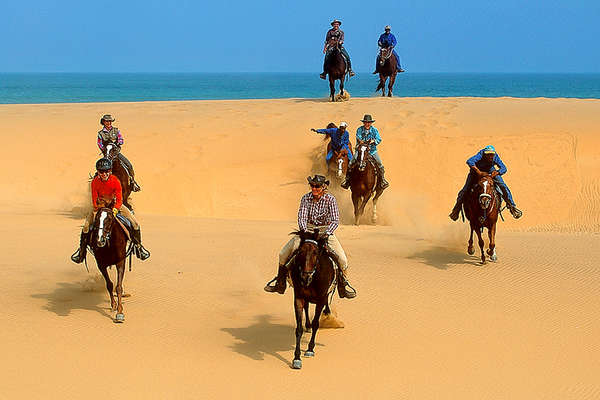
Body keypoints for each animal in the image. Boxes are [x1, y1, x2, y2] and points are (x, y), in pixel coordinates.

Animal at [290, 228, 338, 368]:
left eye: (316, 252)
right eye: (300, 251)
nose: (305, 276)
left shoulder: (321, 299)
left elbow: (316, 323)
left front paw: (310, 349)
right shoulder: (299, 297)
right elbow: (298, 328)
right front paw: (297, 358)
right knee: (306, 308)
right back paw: (308, 325)